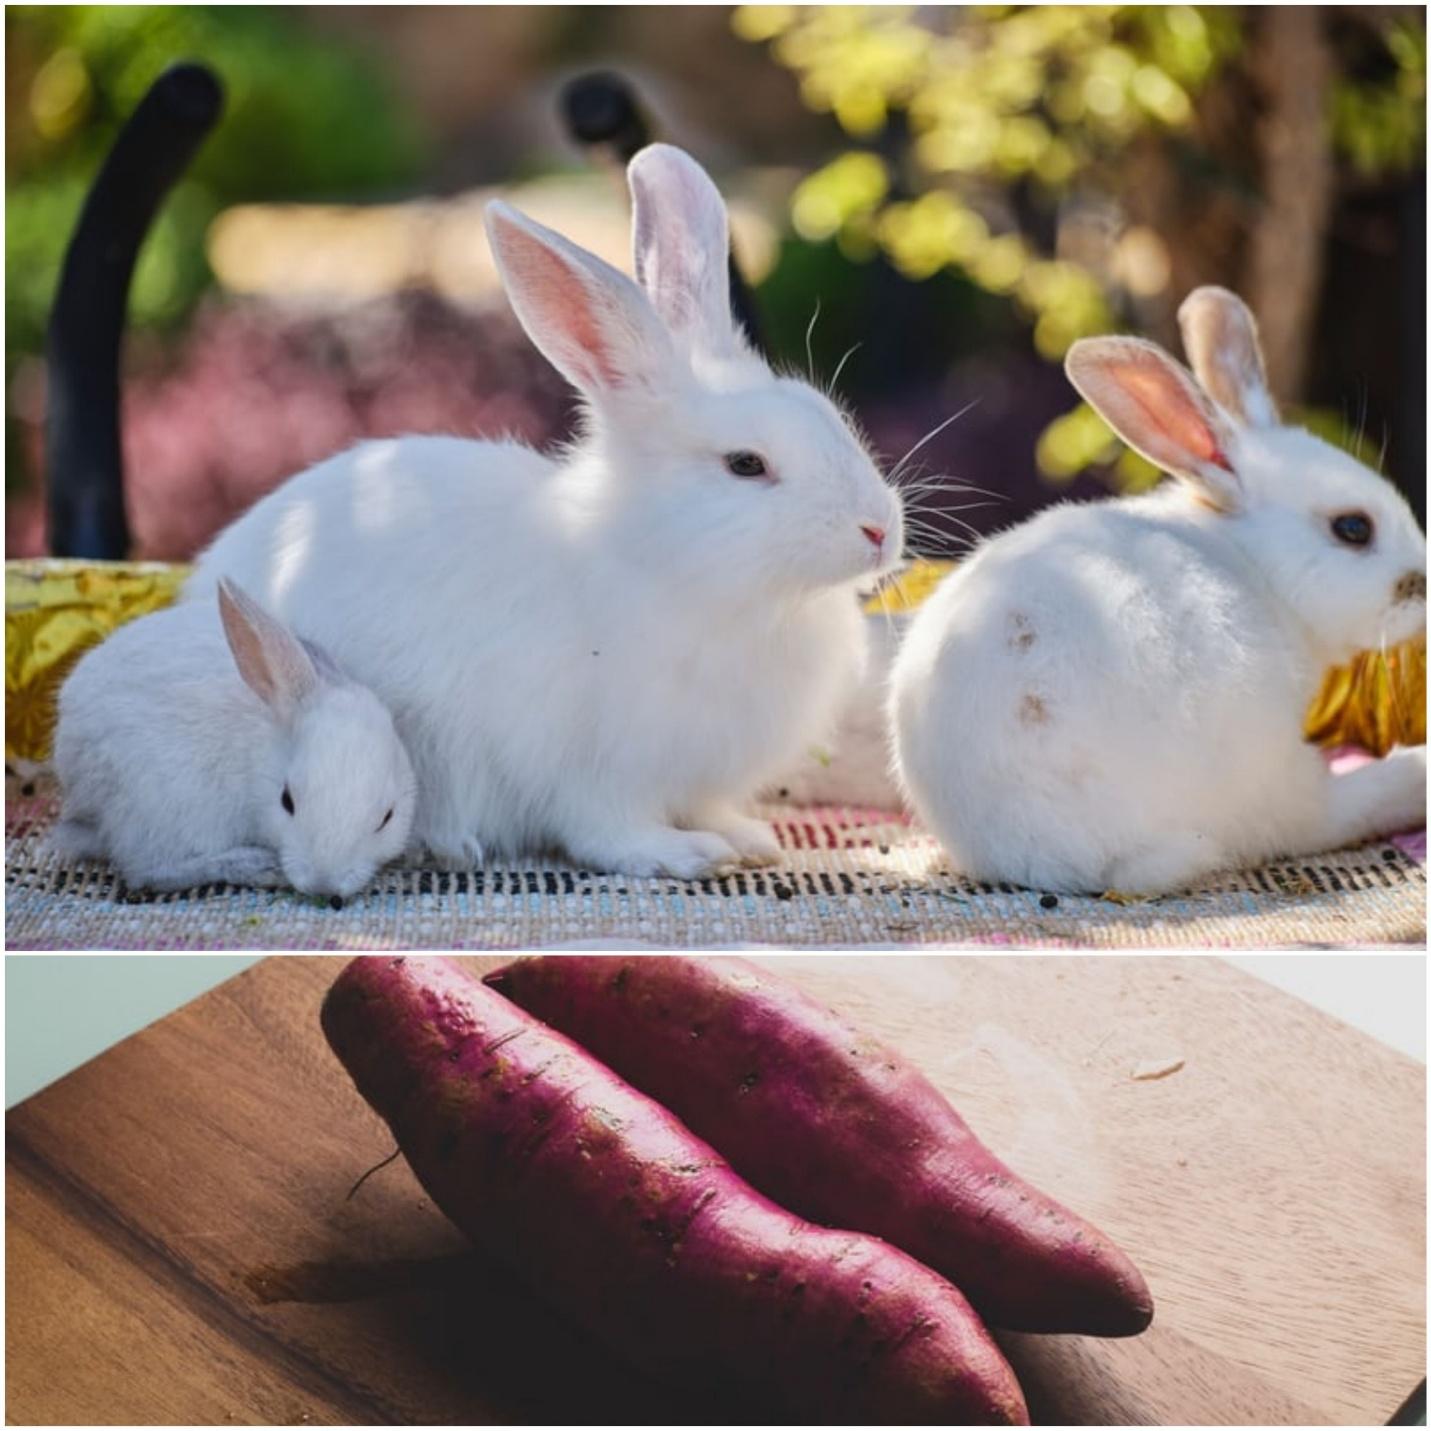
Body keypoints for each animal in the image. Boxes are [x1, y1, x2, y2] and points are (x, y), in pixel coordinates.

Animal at [51, 577, 417, 898]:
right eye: (286, 801)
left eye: (387, 817)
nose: (322, 886)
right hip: (167, 803)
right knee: (148, 871)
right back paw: (257, 865)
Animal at [184, 145, 904, 880]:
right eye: (746, 465)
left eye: (830, 416)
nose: (880, 529)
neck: (669, 568)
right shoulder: (593, 765)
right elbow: (607, 830)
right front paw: (685, 854)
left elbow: (705, 806)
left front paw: (746, 838)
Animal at [891, 285, 1426, 895]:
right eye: (1354, 528)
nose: (1422, 583)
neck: (1253, 560)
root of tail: (1051, 852)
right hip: (1270, 774)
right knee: (1325, 814)